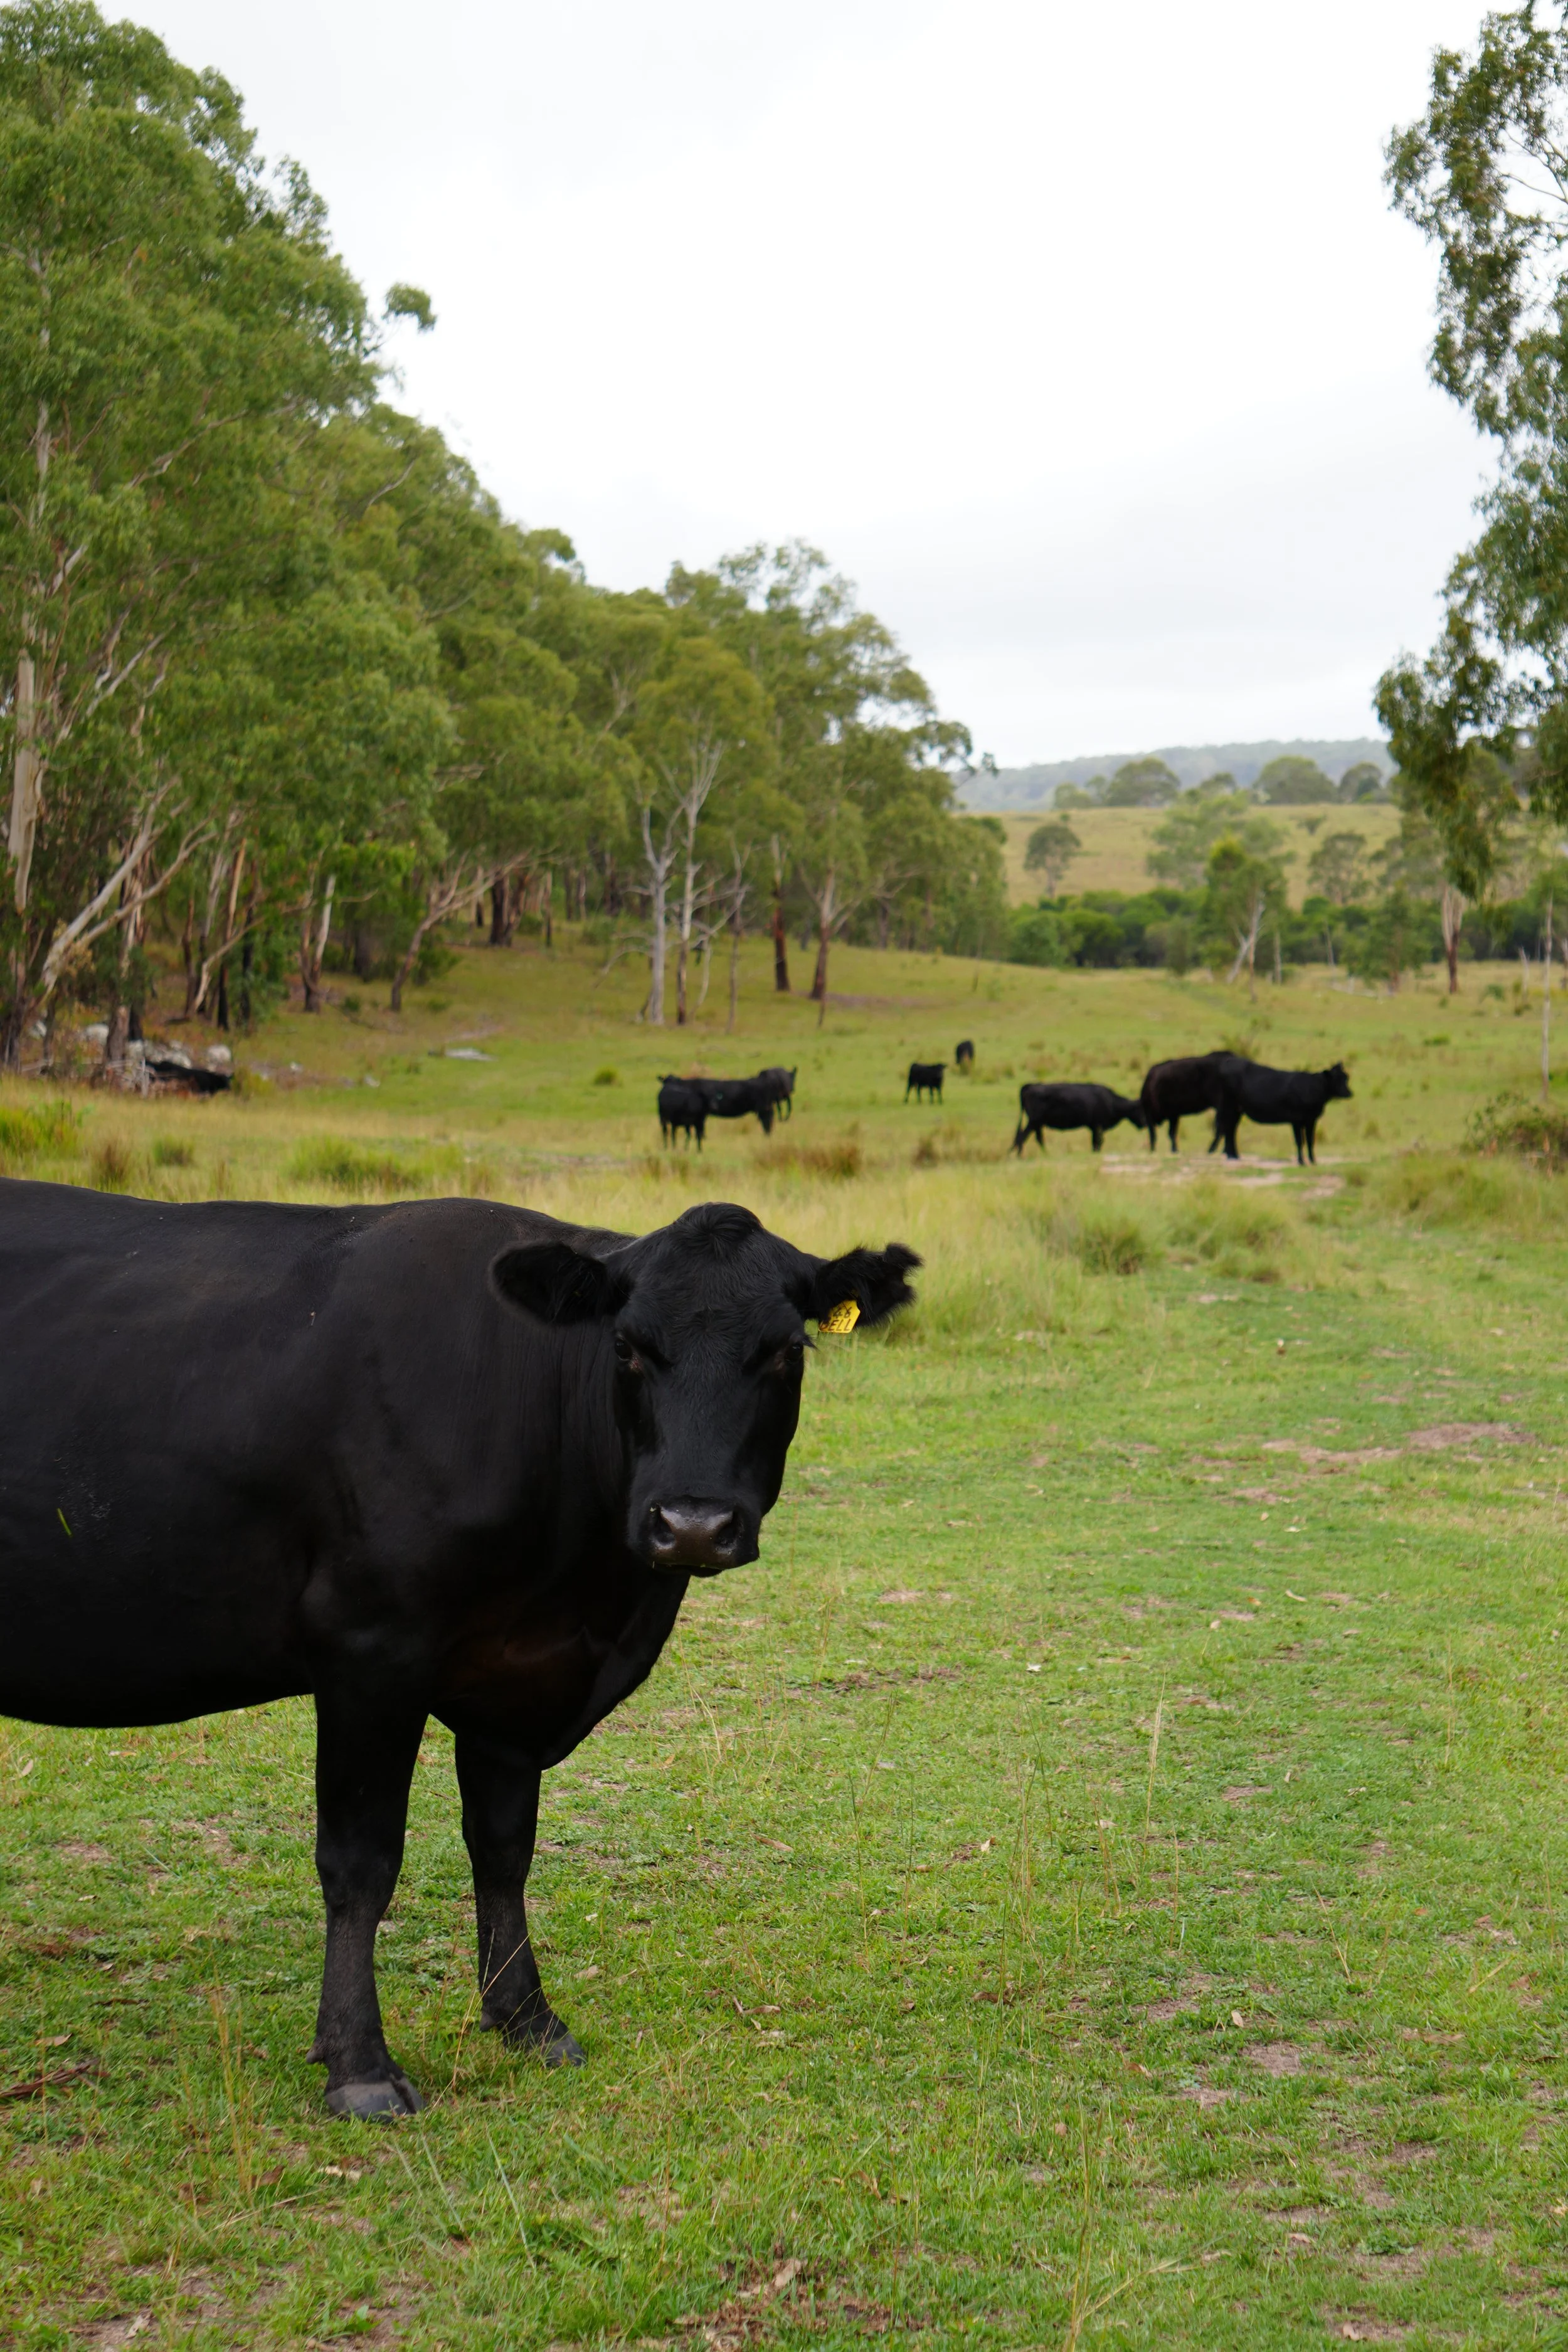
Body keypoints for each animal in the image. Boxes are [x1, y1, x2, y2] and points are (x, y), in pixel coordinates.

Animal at [0, 1183, 918, 2118]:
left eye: (786, 1350)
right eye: (626, 1347)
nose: (692, 1523)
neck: (589, 1597)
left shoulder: (517, 1678)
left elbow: (504, 1848)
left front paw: (527, 2018)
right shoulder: (369, 1647)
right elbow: (362, 1861)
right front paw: (359, 2063)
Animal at [1012, 1081, 1146, 1154]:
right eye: (1140, 1109)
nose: (1145, 1123)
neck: (1111, 1101)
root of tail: (1031, 1086)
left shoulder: (1094, 1127)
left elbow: (1095, 1142)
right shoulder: (1098, 1126)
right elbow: (1098, 1142)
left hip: (1038, 1124)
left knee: (1037, 1138)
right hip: (1034, 1122)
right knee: (1023, 1137)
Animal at [1138, 1053, 1237, 1157]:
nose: (1143, 1121)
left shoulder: (1171, 1115)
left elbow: (1167, 1133)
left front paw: (1173, 1150)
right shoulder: (1174, 1115)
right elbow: (1169, 1133)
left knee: (1222, 1127)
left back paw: (1211, 1150)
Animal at [1211, 1058, 1351, 1165]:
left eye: (1346, 1077)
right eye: (1337, 1079)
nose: (1350, 1093)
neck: (1311, 1088)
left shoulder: (1311, 1120)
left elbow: (1310, 1141)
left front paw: (1313, 1161)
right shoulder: (1296, 1120)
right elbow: (1300, 1141)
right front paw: (1301, 1161)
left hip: (1236, 1109)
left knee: (1231, 1129)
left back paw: (1234, 1155)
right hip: (1228, 1106)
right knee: (1227, 1128)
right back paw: (1229, 1155)